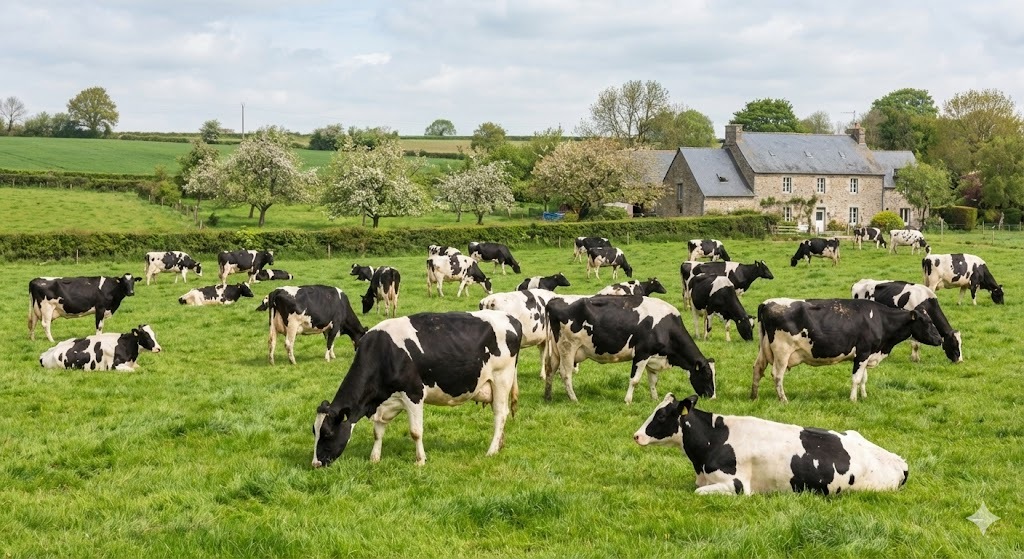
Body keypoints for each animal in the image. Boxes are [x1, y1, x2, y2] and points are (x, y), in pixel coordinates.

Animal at [311, 310, 523, 467]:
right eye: (314, 432)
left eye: (328, 433)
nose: (315, 464)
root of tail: (510, 318)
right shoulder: (383, 402)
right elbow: (378, 432)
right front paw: (374, 458)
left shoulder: (414, 394)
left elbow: (415, 431)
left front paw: (420, 461)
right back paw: (500, 445)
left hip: (502, 378)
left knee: (500, 414)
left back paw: (491, 450)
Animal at [545, 295, 716, 404]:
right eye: (707, 375)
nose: (713, 398)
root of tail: (554, 300)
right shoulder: (642, 353)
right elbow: (635, 380)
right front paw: (628, 400)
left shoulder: (653, 356)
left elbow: (653, 380)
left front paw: (655, 399)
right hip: (568, 347)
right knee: (565, 374)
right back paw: (574, 399)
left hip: (556, 350)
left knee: (550, 370)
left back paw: (548, 396)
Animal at [752, 298, 943, 402]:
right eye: (927, 322)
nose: (940, 339)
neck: (880, 320)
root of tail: (767, 303)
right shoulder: (863, 353)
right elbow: (856, 379)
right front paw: (853, 399)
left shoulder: (867, 355)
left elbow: (864, 378)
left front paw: (864, 396)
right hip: (782, 352)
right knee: (777, 375)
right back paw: (783, 399)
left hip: (764, 350)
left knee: (757, 369)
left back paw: (754, 396)